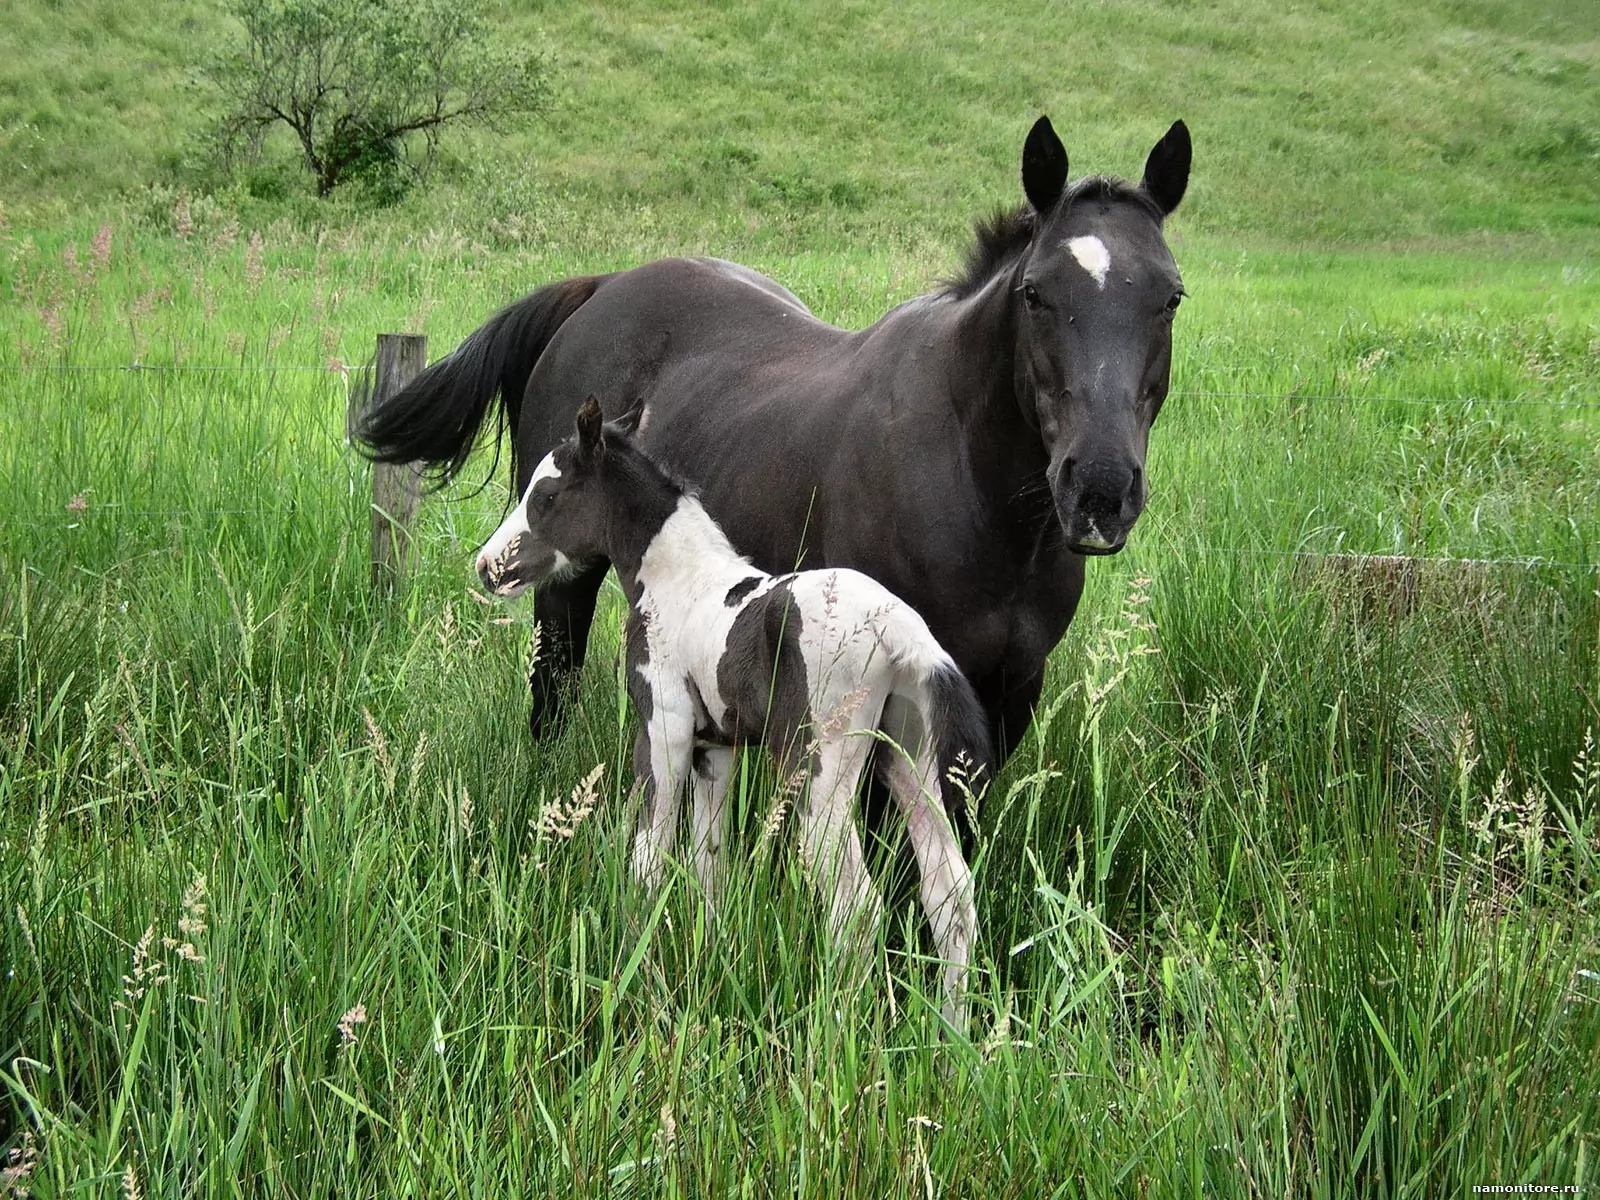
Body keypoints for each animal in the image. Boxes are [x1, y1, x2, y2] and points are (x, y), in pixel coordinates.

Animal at [363, 117, 1190, 764]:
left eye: (1171, 297)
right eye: (1036, 294)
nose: (1101, 489)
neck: (973, 491)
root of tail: (600, 289)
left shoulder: (1010, 690)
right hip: (563, 582)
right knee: (551, 694)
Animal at [473, 400, 979, 1030]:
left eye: (544, 497)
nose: (486, 566)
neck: (675, 580)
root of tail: (901, 631)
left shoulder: (662, 727)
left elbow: (649, 855)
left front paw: (638, 974)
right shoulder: (716, 749)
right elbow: (707, 862)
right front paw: (705, 956)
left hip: (818, 771)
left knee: (856, 904)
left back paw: (840, 1030)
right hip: (909, 755)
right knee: (950, 891)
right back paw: (952, 1034)